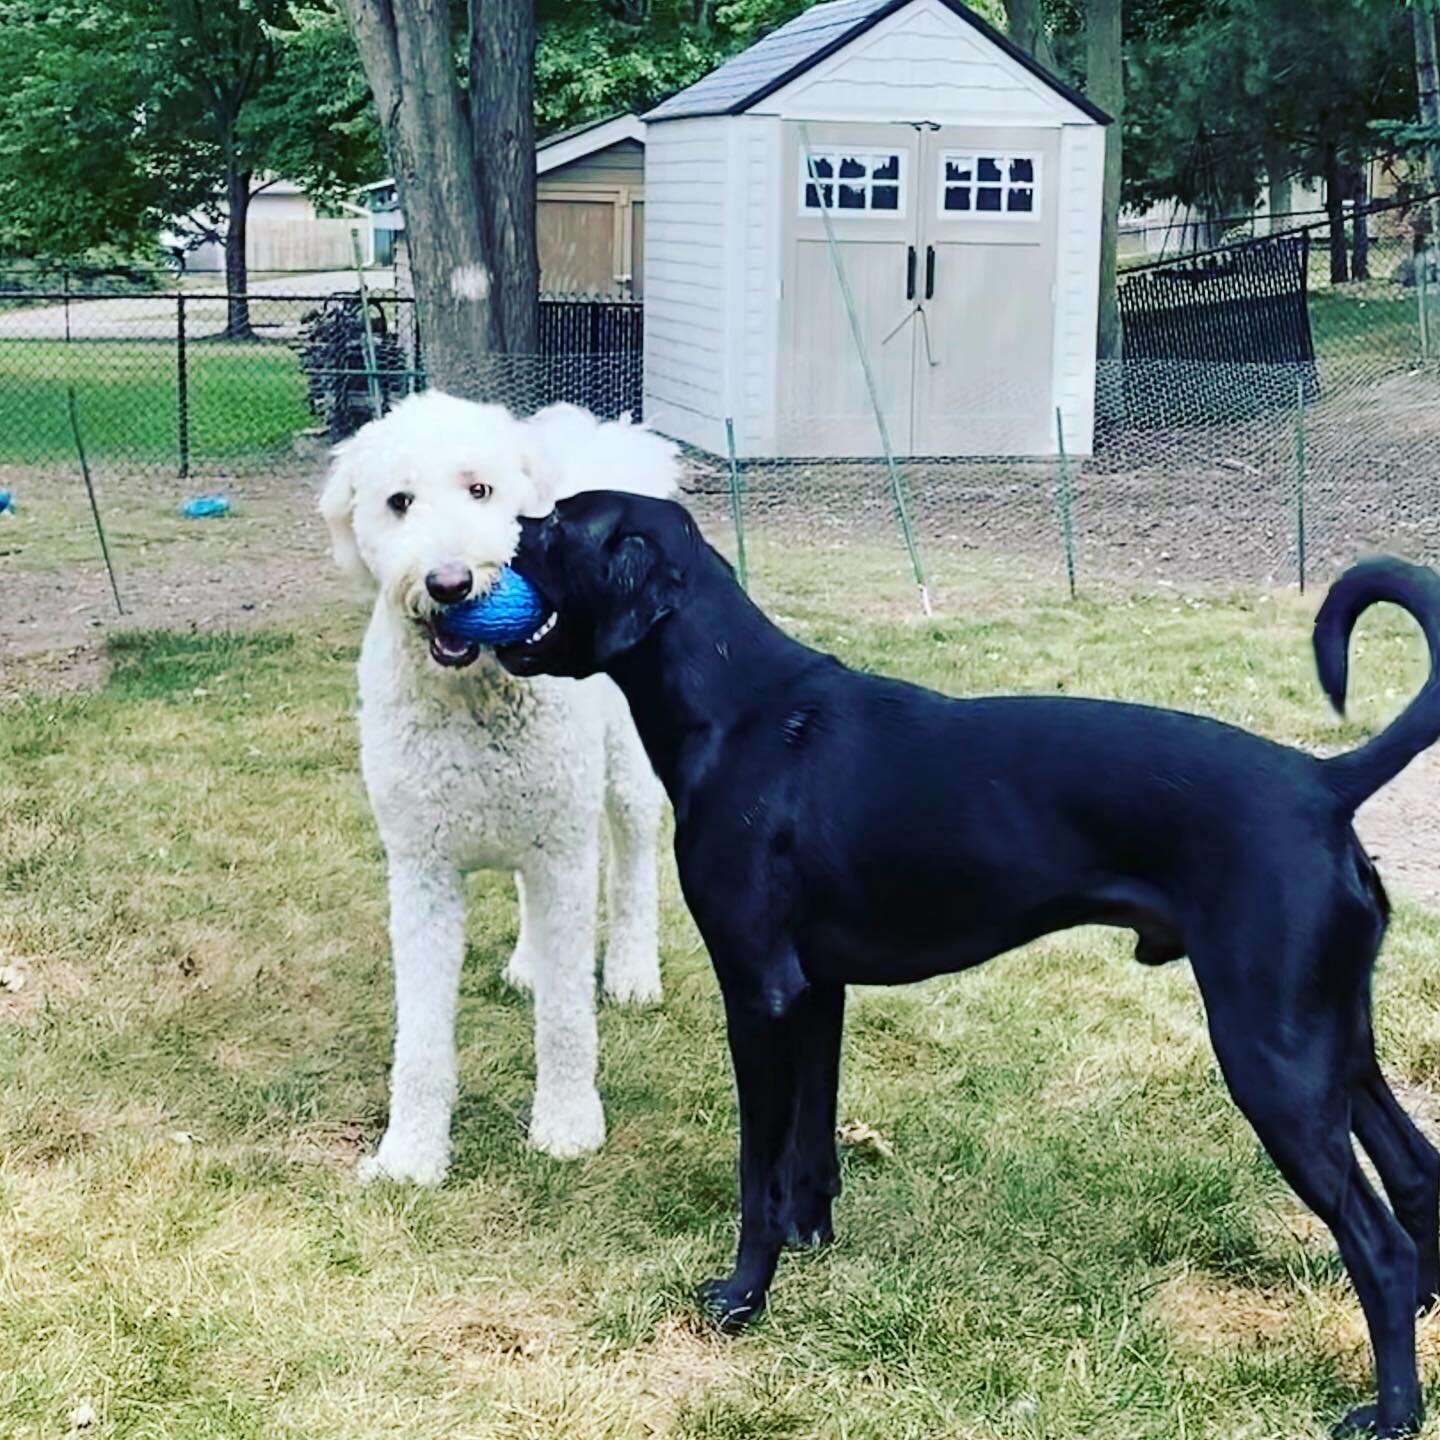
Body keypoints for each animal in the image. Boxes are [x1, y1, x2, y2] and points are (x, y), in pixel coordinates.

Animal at [322, 394, 679, 1180]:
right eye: (399, 502)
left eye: (480, 490)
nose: (449, 582)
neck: (472, 693)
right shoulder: (422, 873)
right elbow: (421, 1036)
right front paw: (410, 1154)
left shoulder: (562, 854)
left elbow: (568, 1017)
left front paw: (568, 1124)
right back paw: (526, 963)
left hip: (624, 772)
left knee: (635, 856)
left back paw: (634, 971)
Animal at [501, 495, 1440, 1440]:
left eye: (555, 527)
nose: (495, 542)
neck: (742, 711)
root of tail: (1319, 784)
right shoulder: (816, 995)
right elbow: (811, 1147)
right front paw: (813, 1242)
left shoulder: (758, 997)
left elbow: (756, 1172)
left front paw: (743, 1296)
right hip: (1335, 1046)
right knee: (1415, 1174)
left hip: (1272, 1061)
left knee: (1381, 1244)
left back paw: (1392, 1410)